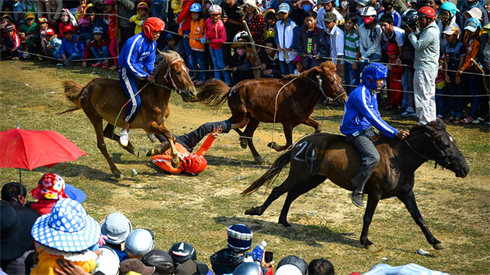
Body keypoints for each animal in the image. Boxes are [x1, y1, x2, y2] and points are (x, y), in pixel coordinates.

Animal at [62, 50, 196, 178]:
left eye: (188, 70)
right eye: (177, 72)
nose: (192, 93)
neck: (155, 94)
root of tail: (86, 87)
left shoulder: (160, 122)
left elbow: (171, 137)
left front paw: (154, 150)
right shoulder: (149, 125)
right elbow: (169, 135)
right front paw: (174, 160)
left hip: (113, 118)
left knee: (108, 132)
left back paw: (129, 146)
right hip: (95, 117)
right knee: (102, 144)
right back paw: (116, 170)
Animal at [197, 61, 346, 164]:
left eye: (340, 80)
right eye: (331, 82)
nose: (344, 98)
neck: (299, 93)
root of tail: (232, 88)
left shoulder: (304, 118)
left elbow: (318, 127)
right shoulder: (287, 123)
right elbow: (289, 144)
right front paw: (273, 145)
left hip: (253, 118)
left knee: (247, 134)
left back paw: (256, 155)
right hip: (240, 115)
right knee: (230, 125)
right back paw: (245, 143)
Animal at [243, 121, 468, 252]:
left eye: (455, 141)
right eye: (445, 144)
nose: (465, 169)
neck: (398, 159)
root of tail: (301, 143)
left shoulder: (406, 193)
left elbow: (419, 218)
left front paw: (435, 241)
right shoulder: (375, 194)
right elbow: (367, 217)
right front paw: (365, 241)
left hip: (314, 179)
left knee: (290, 194)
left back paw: (284, 220)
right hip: (299, 175)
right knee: (278, 191)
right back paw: (256, 211)